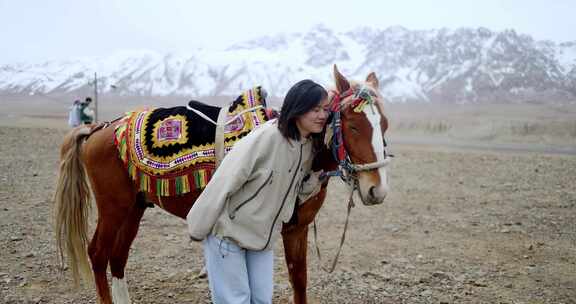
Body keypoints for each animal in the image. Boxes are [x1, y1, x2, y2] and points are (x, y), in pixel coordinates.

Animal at [54, 65, 392, 302]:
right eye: (352, 125)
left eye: (385, 125)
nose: (377, 190)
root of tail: (100, 127)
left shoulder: (298, 229)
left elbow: (300, 282)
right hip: (113, 209)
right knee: (99, 254)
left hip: (135, 208)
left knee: (118, 256)